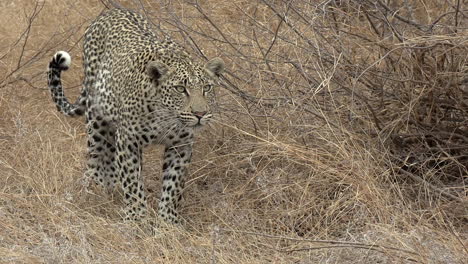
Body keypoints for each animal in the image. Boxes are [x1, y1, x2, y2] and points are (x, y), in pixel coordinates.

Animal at [46, 8, 225, 224]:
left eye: (207, 88)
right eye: (180, 89)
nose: (200, 114)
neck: (165, 116)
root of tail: (113, 10)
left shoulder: (181, 145)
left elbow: (173, 186)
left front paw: (167, 222)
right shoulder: (128, 141)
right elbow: (132, 182)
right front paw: (136, 218)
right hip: (96, 119)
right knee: (97, 154)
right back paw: (96, 189)